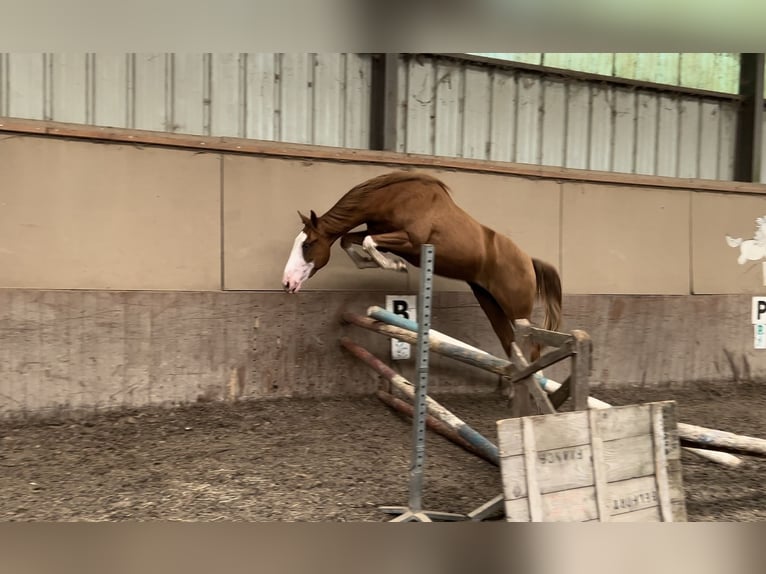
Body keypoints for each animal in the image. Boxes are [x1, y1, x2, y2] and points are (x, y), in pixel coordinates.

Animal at [280, 171, 560, 360]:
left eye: (308, 245)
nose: (287, 283)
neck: (393, 199)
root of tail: (529, 262)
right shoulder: (381, 233)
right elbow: (349, 240)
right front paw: (376, 263)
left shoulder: (410, 241)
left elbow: (368, 242)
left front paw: (396, 266)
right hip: (491, 305)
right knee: (511, 344)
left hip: (517, 311)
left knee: (532, 347)